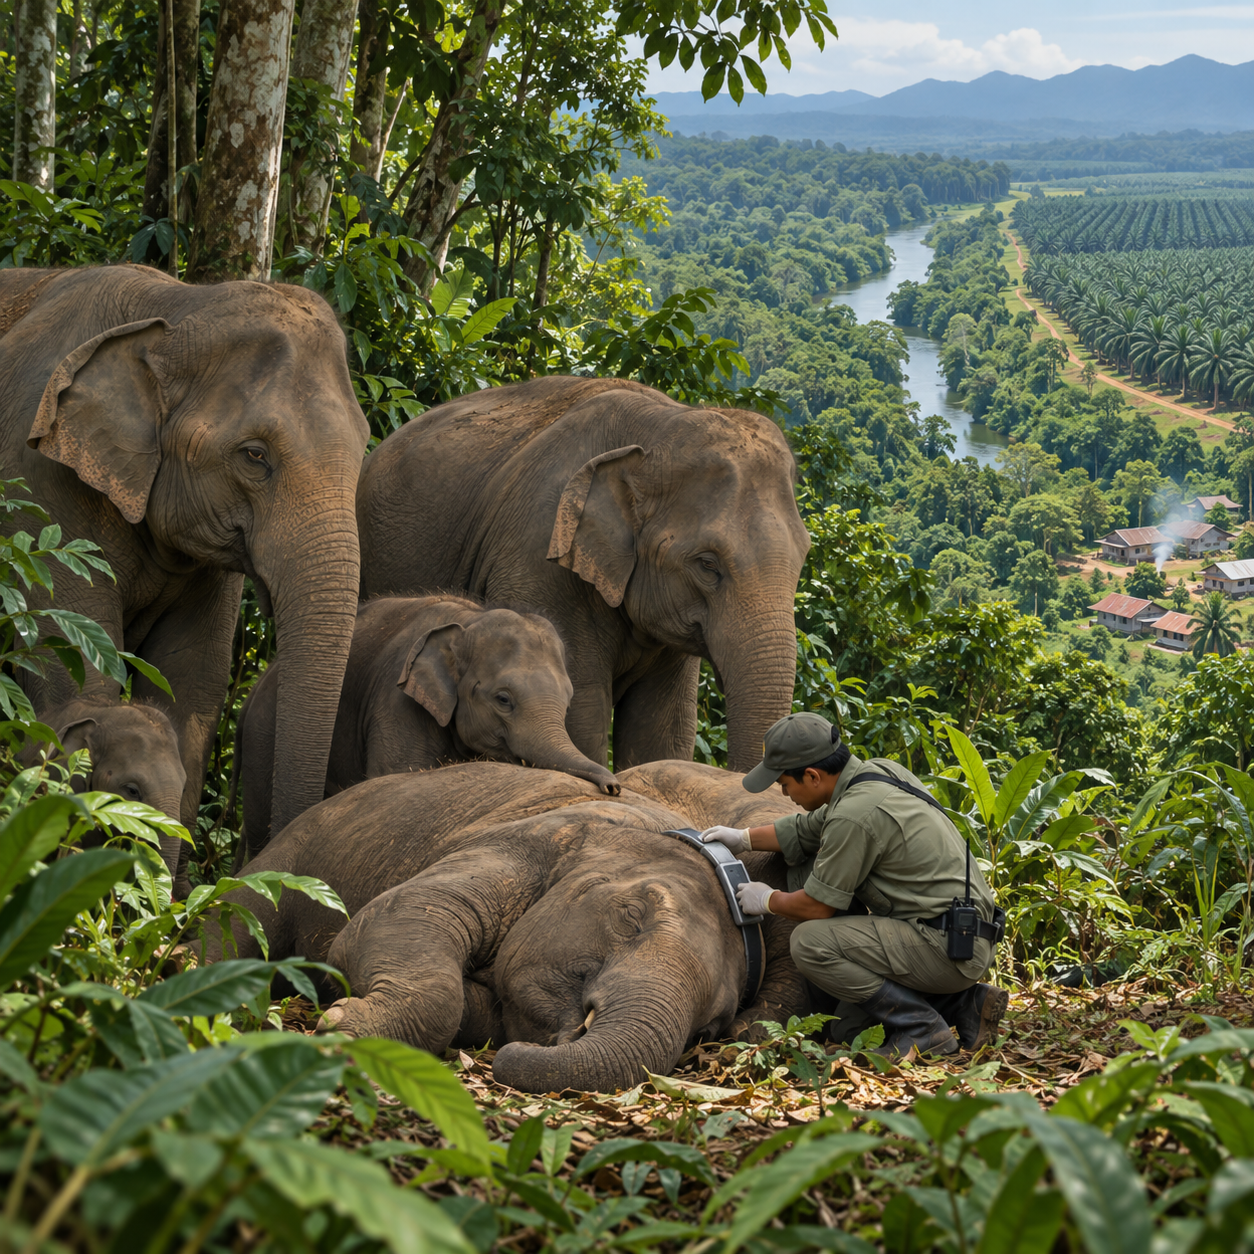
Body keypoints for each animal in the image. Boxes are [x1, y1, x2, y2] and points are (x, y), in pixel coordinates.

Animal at [0, 266, 369, 870]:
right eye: (255, 456)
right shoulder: (37, 486)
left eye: (363, 448)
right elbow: (77, 666)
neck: (175, 309)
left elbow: (192, 685)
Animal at [213, 759, 811, 1093]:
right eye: (632, 917)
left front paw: (344, 1018)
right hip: (289, 854)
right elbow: (387, 916)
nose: (504, 1063)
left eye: (710, 1027)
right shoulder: (531, 840)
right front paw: (343, 1025)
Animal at [233, 595, 619, 860]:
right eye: (503, 699)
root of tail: (252, 691)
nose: (613, 787)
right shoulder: (396, 702)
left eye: (567, 702)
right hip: (262, 735)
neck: (468, 620)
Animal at [355, 376, 811, 773]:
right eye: (707, 564)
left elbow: (661, 730)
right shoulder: (537, 557)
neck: (660, 424)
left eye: (803, 556)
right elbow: (583, 714)